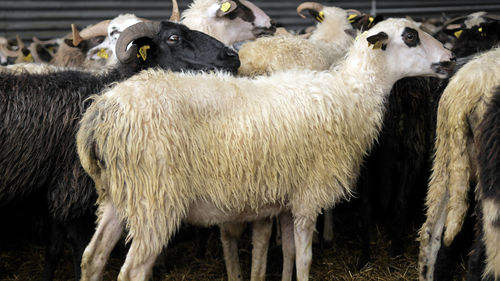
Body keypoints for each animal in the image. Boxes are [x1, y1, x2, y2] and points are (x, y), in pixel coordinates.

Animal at [0, 20, 240, 280]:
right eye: (173, 38)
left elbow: (54, 247)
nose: (233, 57)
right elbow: (78, 247)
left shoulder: (58, 189)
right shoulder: (73, 188)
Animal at [76, 18, 456, 280]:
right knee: (132, 271)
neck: (351, 94)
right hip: (154, 199)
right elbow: (305, 258)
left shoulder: (286, 198)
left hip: (118, 195)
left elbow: (287, 251)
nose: (451, 58)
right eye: (410, 37)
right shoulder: (307, 196)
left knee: (92, 257)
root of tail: (102, 111)